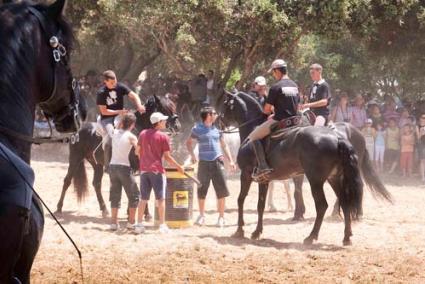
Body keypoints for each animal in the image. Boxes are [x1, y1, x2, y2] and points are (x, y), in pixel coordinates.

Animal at [222, 91, 390, 246]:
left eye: (225, 104)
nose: (220, 123)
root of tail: (339, 138)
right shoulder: (264, 179)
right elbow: (261, 205)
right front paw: (257, 232)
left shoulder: (246, 174)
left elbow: (241, 200)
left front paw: (239, 230)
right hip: (334, 177)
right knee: (345, 202)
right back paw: (346, 236)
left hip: (316, 180)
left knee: (322, 205)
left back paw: (312, 236)